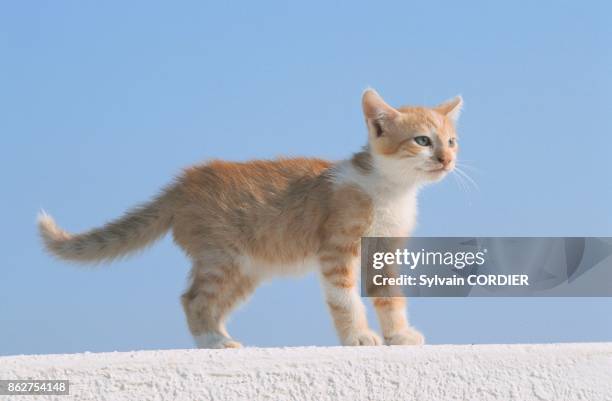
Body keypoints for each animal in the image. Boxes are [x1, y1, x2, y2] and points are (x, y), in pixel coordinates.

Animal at [37, 89, 460, 348]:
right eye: (423, 141)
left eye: (452, 141)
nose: (446, 159)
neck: (390, 190)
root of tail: (183, 183)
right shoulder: (336, 249)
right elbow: (344, 298)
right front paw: (358, 336)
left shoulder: (384, 250)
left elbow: (390, 297)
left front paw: (399, 335)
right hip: (221, 258)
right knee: (193, 299)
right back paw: (213, 341)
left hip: (245, 270)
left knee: (211, 303)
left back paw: (218, 336)